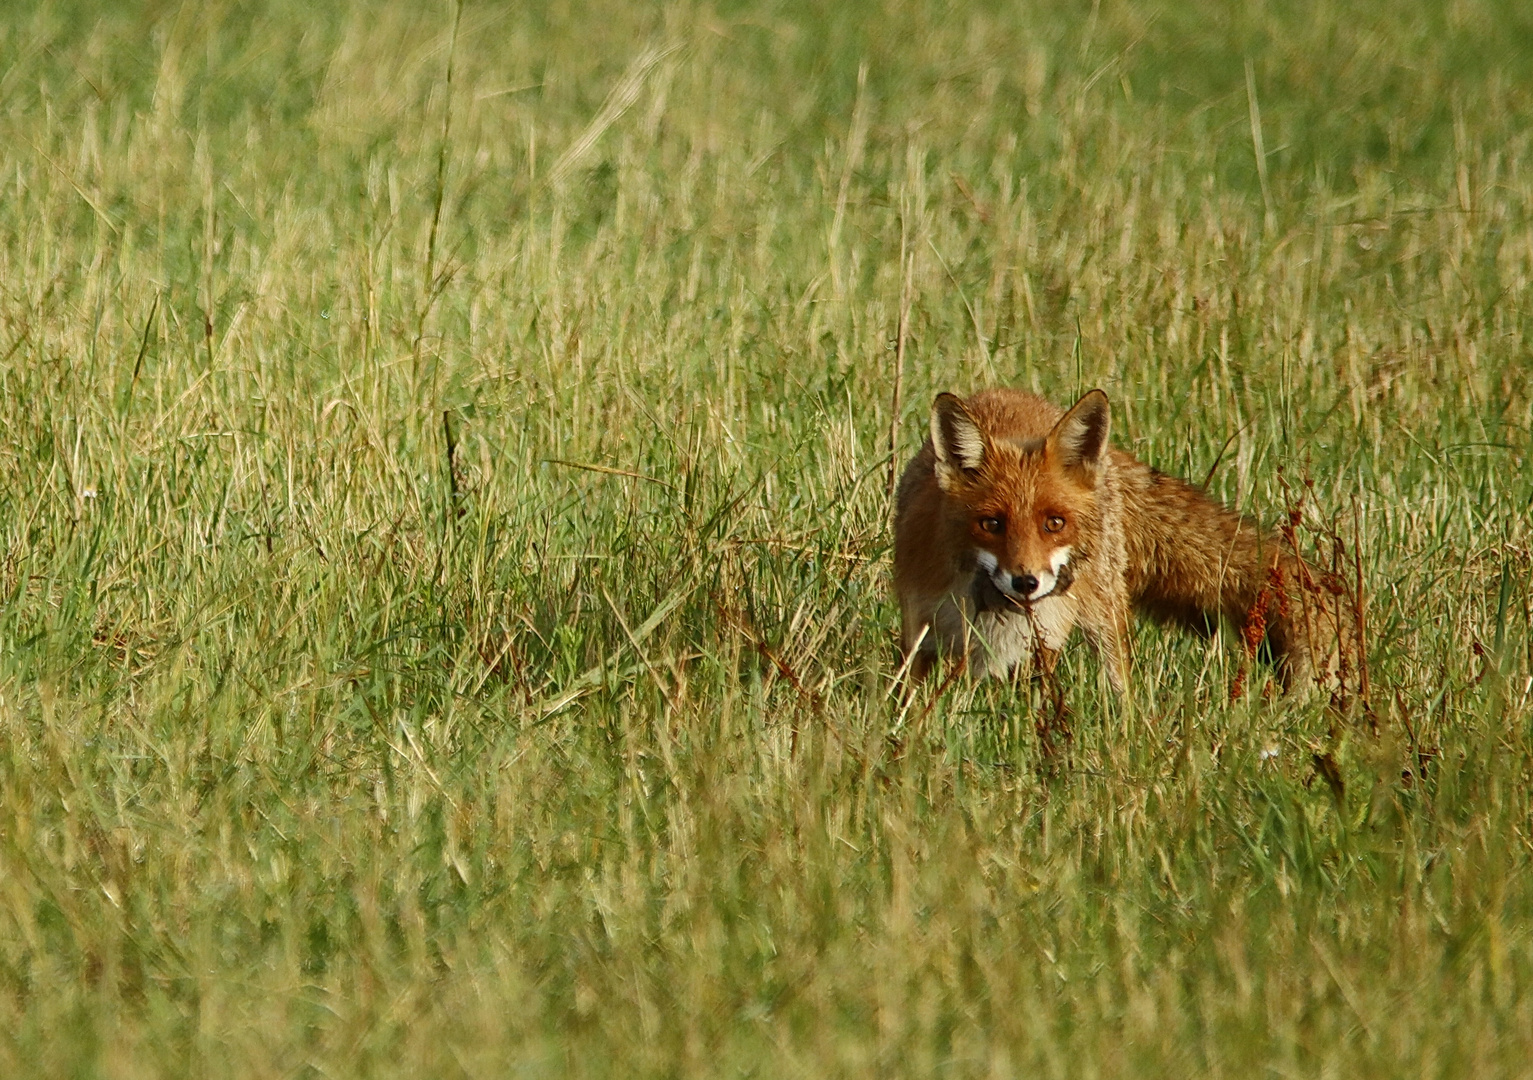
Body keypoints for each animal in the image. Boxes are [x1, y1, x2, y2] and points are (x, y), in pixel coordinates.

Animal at [895, 386, 1361, 692]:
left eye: (1054, 523)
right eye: (990, 524)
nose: (1026, 582)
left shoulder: (1035, 643)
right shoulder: (919, 631)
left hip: (1100, 616)